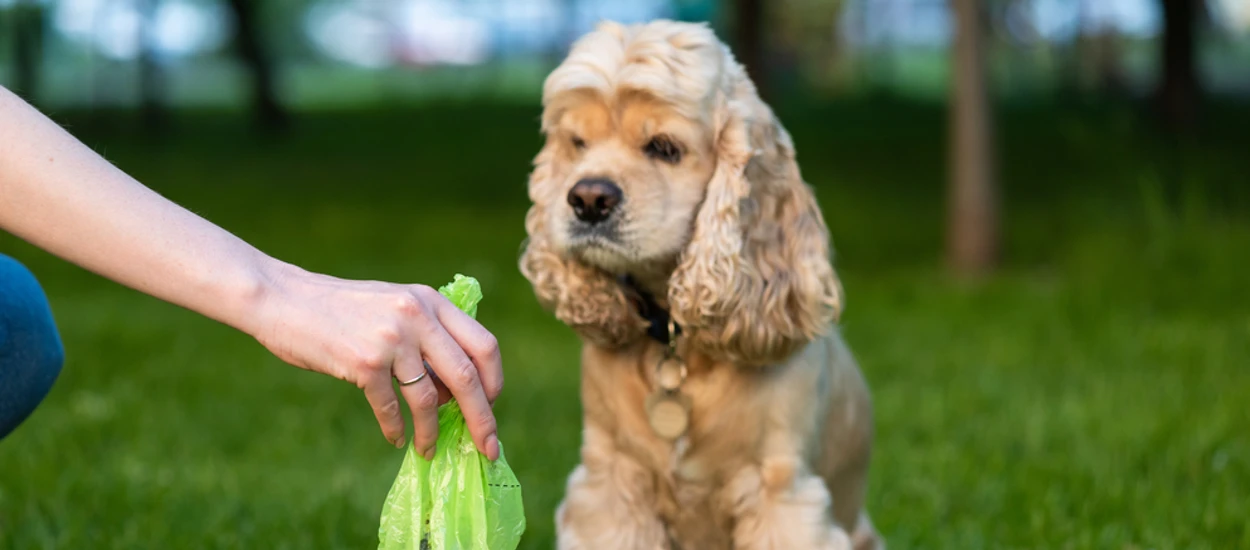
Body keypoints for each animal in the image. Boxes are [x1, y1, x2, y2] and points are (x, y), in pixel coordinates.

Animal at [517, 19, 880, 547]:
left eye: (664, 147)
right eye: (577, 143)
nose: (586, 199)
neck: (677, 341)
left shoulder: (782, 491)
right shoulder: (611, 482)